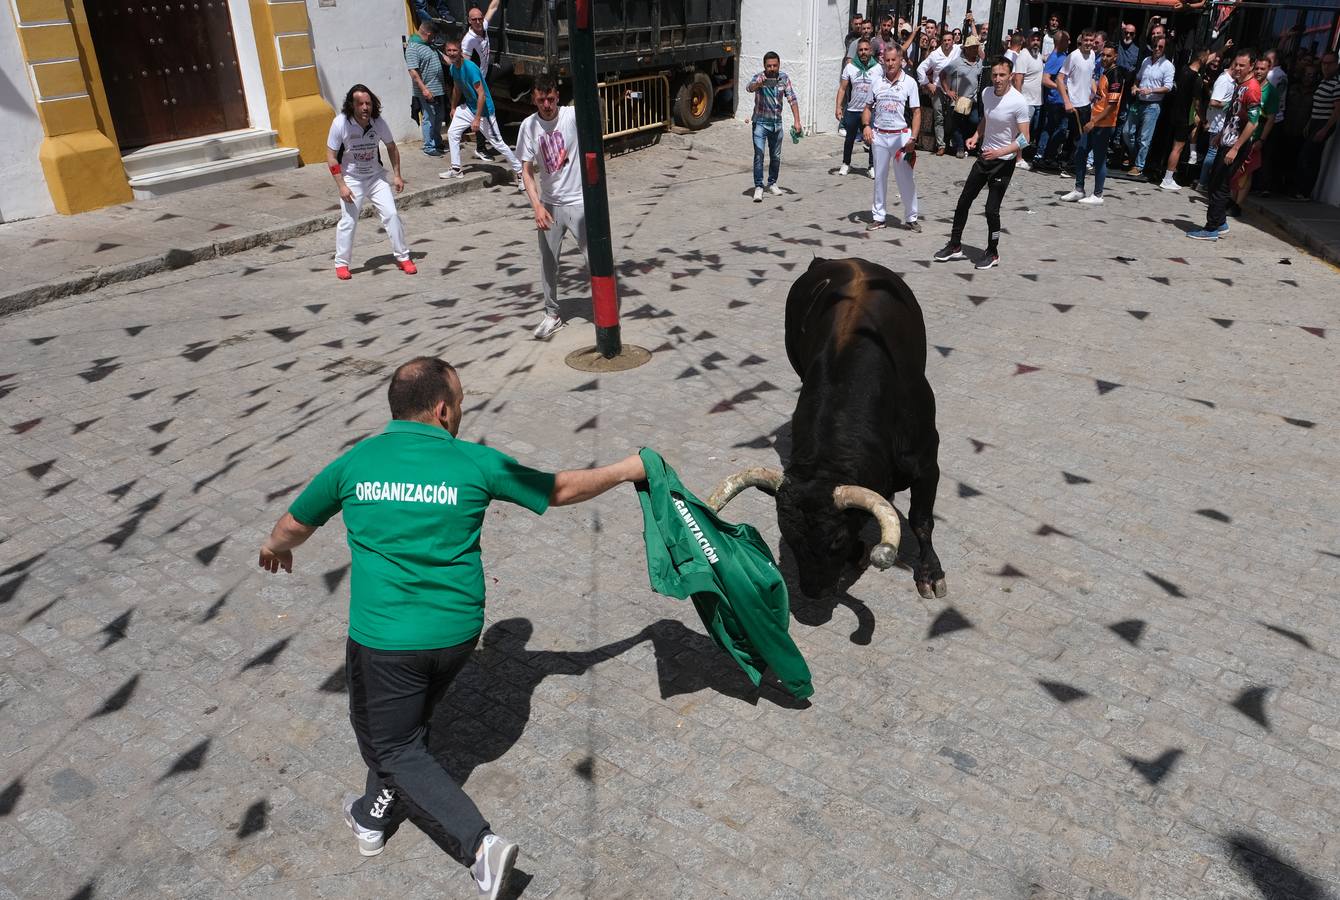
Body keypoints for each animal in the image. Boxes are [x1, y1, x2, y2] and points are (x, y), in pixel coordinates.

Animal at [712, 257, 943, 600]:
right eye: (789, 538)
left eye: (836, 540)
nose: (813, 591)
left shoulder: (927, 463)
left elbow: (922, 520)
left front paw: (931, 573)